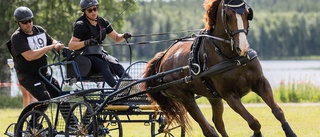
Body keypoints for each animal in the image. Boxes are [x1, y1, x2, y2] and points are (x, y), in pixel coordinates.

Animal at [143, 0, 298, 137]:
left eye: (247, 13)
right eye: (228, 15)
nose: (242, 47)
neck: (233, 58)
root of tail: (162, 58)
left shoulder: (260, 82)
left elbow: (278, 111)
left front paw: (290, 132)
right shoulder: (229, 96)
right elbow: (253, 122)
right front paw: (256, 134)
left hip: (213, 97)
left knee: (217, 123)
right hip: (185, 98)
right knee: (208, 129)